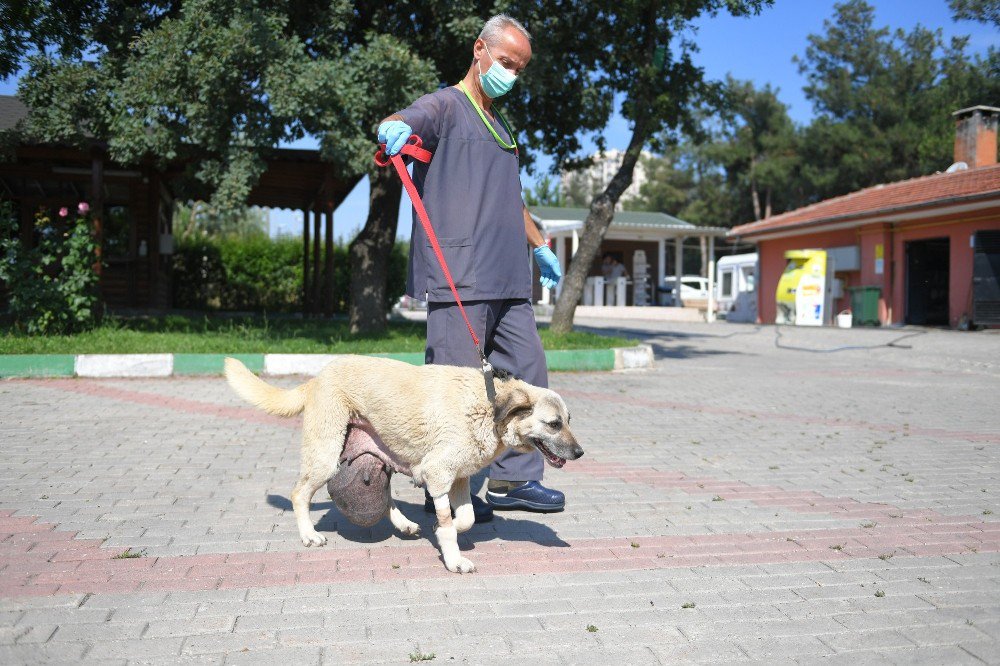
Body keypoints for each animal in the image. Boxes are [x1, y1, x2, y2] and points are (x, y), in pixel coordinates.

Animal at [223, 356, 584, 568]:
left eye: (569, 420)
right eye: (554, 424)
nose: (580, 453)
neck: (487, 406)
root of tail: (317, 377)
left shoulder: (458, 479)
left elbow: (465, 519)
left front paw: (447, 532)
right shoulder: (439, 474)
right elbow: (449, 522)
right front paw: (453, 558)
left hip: (384, 454)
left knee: (385, 496)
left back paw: (404, 524)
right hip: (326, 455)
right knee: (299, 494)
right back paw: (309, 535)